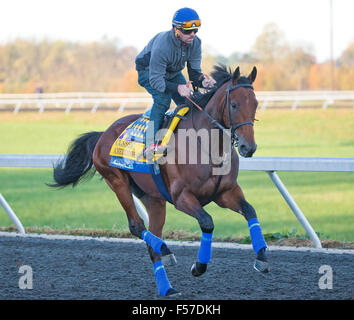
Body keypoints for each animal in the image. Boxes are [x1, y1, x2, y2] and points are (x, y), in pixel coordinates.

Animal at [49, 65, 270, 298]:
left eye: (255, 104)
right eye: (234, 105)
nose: (248, 147)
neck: (207, 146)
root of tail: (103, 134)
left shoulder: (225, 193)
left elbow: (250, 211)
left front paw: (262, 258)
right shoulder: (182, 197)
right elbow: (207, 222)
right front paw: (199, 266)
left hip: (153, 198)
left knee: (152, 239)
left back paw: (166, 284)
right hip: (117, 182)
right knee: (136, 226)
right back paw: (164, 250)